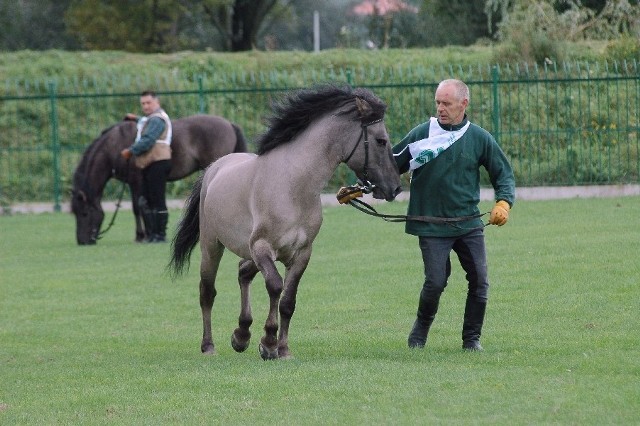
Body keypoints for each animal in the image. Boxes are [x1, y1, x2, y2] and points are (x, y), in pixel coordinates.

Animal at [72, 115, 248, 245]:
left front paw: (142, 235)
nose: (82, 241)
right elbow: (144, 206)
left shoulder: (136, 181)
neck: (115, 146)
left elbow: (138, 206)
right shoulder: (136, 183)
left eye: (84, 213)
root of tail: (229, 124)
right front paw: (147, 234)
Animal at [170, 85, 400, 360]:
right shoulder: (262, 248)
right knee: (207, 291)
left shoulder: (301, 253)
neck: (293, 186)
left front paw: (283, 349)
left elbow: (288, 301)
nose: (395, 187)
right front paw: (268, 343)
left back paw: (241, 335)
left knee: (243, 272)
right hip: (211, 246)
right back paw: (209, 346)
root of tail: (214, 167)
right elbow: (275, 286)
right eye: (381, 141)